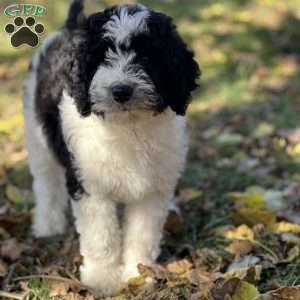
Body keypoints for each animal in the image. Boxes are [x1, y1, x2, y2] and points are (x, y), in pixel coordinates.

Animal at [23, 0, 200, 296]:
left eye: (147, 57)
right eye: (102, 58)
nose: (121, 90)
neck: (127, 126)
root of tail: (70, 27)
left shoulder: (152, 191)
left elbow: (142, 234)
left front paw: (138, 274)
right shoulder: (90, 187)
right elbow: (101, 237)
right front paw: (102, 280)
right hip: (37, 134)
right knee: (46, 183)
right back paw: (48, 225)